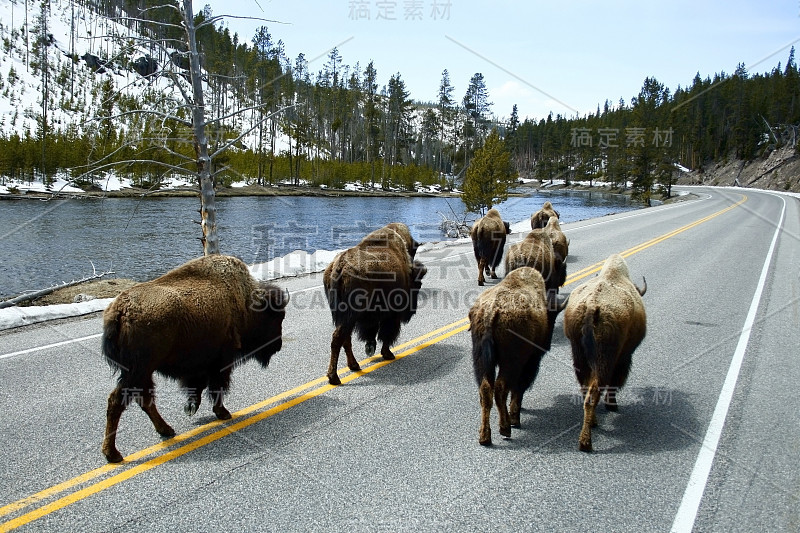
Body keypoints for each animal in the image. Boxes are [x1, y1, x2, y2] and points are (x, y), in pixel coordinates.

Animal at [99, 255, 288, 462]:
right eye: (275, 317)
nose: (278, 345)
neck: (244, 300)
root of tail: (120, 311)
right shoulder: (221, 361)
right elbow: (216, 387)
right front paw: (223, 413)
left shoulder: (201, 365)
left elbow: (199, 386)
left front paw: (191, 407)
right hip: (138, 371)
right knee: (118, 401)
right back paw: (113, 454)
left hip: (142, 373)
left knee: (144, 399)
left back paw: (166, 430)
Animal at [324, 222, 428, 384]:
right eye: (418, 285)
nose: (412, 312)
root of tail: (339, 267)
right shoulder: (392, 314)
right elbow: (387, 333)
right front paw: (388, 354)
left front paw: (371, 349)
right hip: (351, 315)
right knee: (338, 339)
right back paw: (334, 377)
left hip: (346, 317)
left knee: (345, 339)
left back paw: (354, 365)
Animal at [468, 266, 568, 444]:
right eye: (552, 318)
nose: (547, 345)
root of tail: (491, 312)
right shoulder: (530, 362)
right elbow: (519, 387)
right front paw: (515, 417)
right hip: (511, 362)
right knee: (501, 388)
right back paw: (506, 428)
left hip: (481, 362)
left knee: (486, 390)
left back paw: (485, 437)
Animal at [564, 252, 648, 448]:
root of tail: (592, 307)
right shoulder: (623, 358)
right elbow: (615, 381)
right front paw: (612, 405)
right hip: (604, 359)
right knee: (594, 392)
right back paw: (586, 442)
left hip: (579, 357)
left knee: (586, 389)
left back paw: (591, 425)